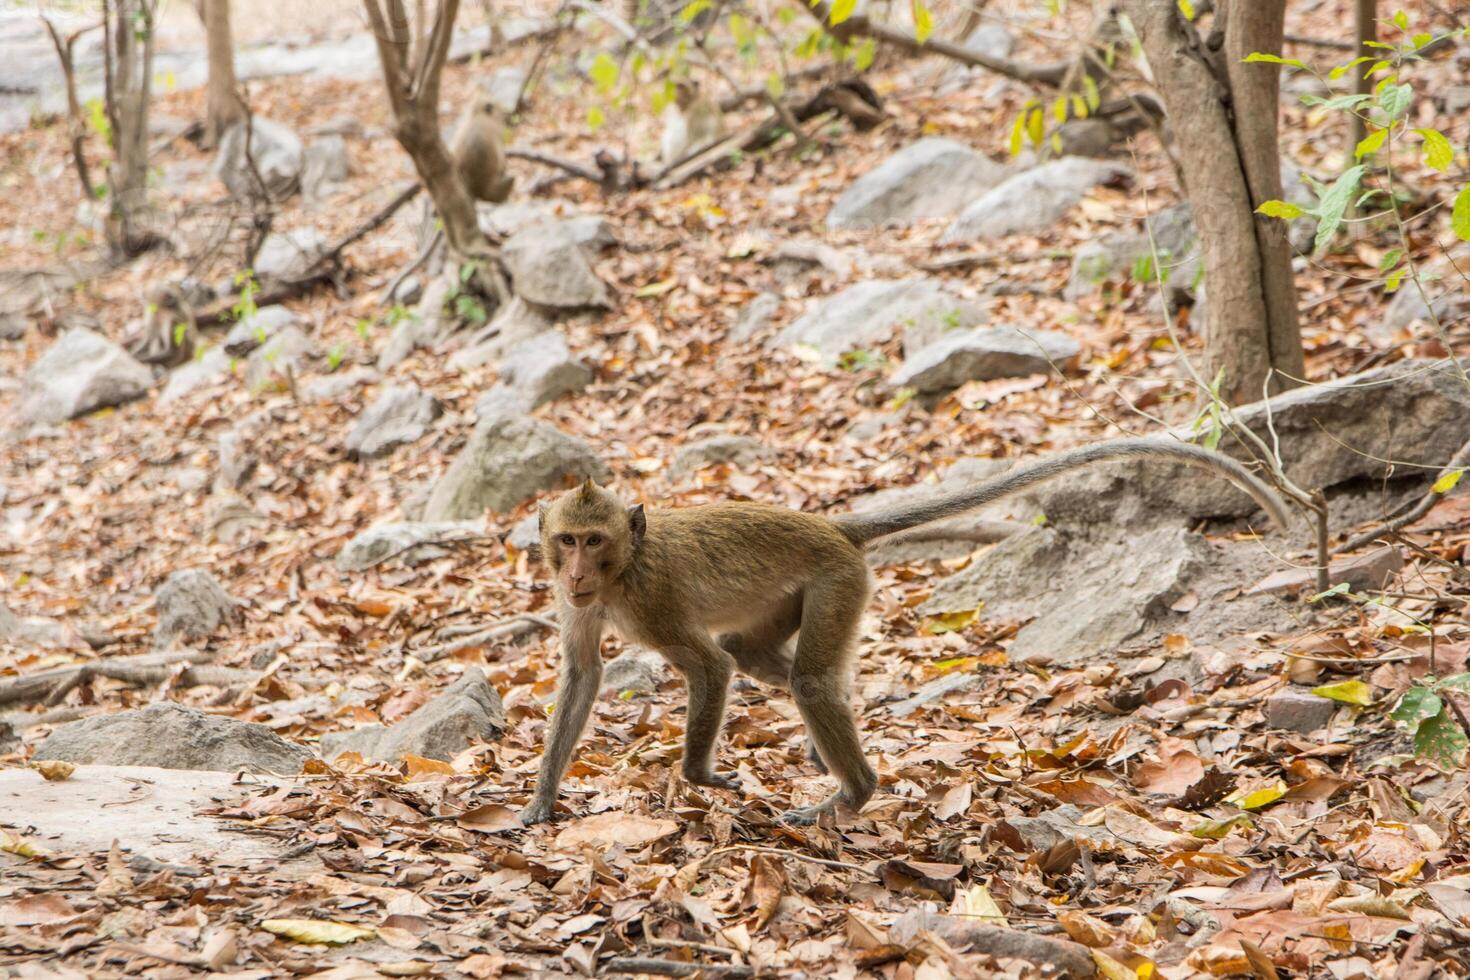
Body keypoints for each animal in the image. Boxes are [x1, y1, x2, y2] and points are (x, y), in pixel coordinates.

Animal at [520, 437, 1287, 828]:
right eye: (567, 540)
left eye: (595, 540)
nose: (578, 569)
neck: (624, 569)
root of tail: (833, 526)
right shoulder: (577, 602)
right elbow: (584, 675)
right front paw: (542, 799)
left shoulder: (652, 601)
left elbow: (710, 668)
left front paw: (700, 775)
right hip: (811, 589)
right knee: (760, 651)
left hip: (837, 580)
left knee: (798, 675)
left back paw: (854, 791)